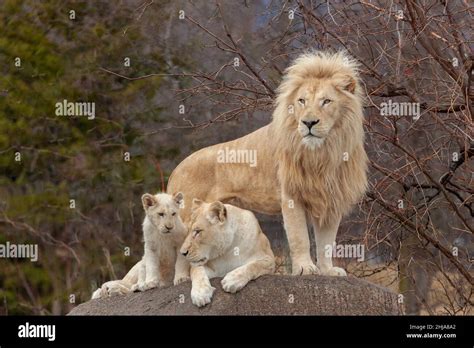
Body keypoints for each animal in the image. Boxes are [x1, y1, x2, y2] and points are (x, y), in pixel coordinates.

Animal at [168, 50, 368, 276]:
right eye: (301, 101)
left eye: (326, 101)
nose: (308, 123)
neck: (322, 152)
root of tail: (176, 169)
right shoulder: (291, 196)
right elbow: (300, 237)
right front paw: (305, 268)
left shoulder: (331, 199)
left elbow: (326, 242)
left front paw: (327, 271)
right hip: (184, 217)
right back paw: (180, 279)